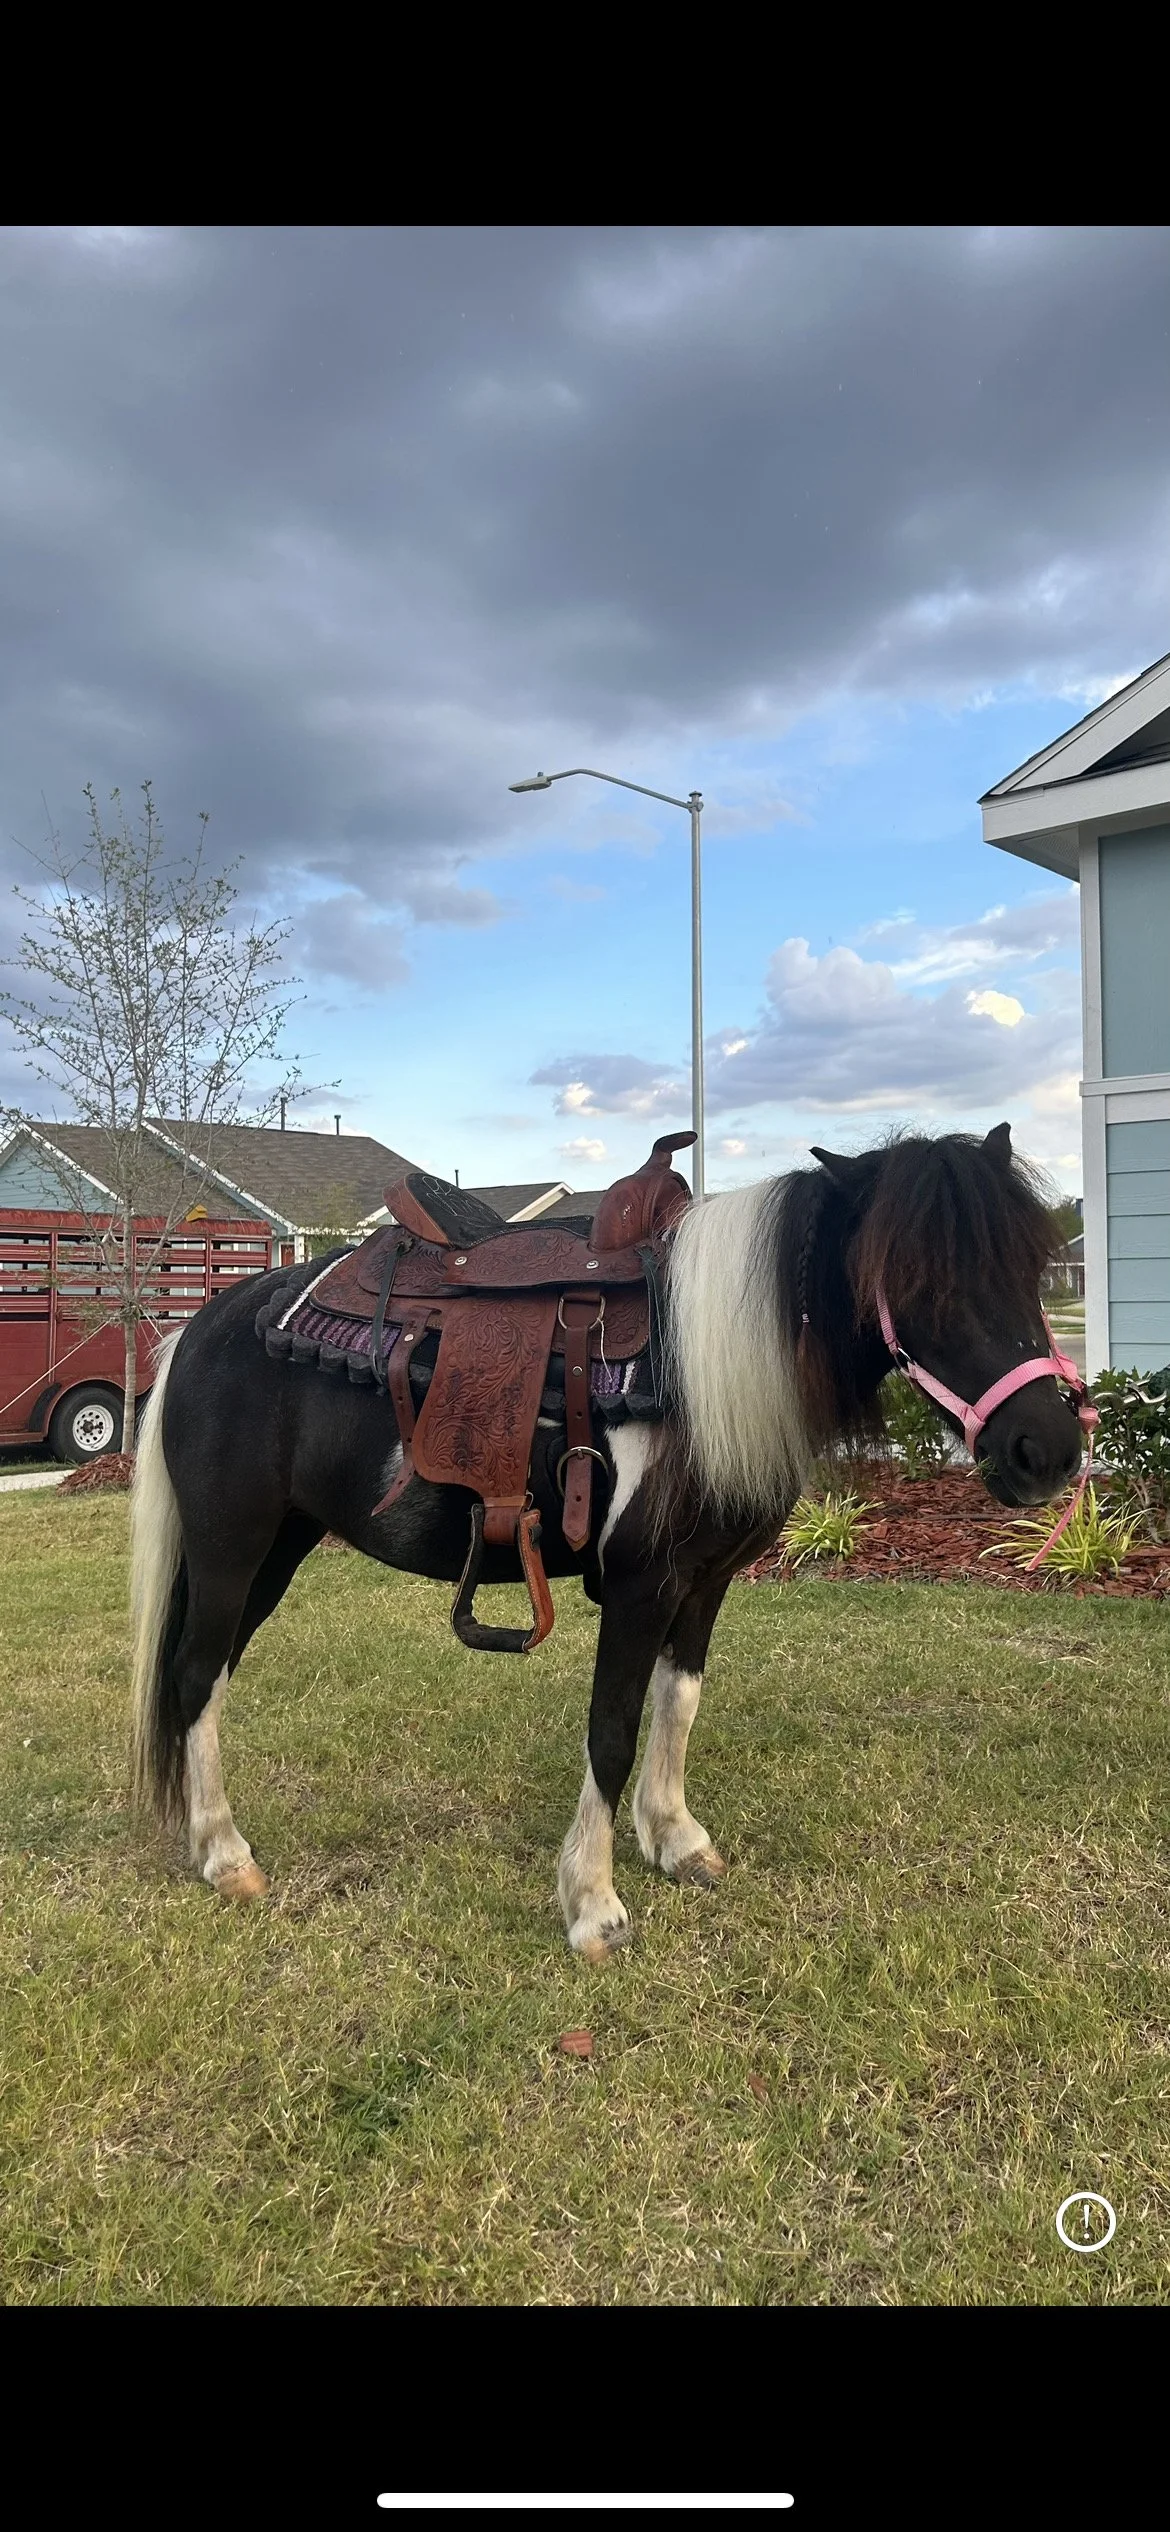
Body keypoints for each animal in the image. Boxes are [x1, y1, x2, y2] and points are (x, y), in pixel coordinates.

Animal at [129, 1123, 1084, 1960]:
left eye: (1033, 1267)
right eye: (919, 1280)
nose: (1047, 1451)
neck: (700, 1370)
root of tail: (203, 1325)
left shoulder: (705, 1583)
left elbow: (678, 1702)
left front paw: (675, 1840)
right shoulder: (640, 1585)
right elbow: (612, 1730)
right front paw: (594, 1903)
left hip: (278, 1548)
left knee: (205, 1677)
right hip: (230, 1544)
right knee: (195, 1673)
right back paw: (227, 1857)